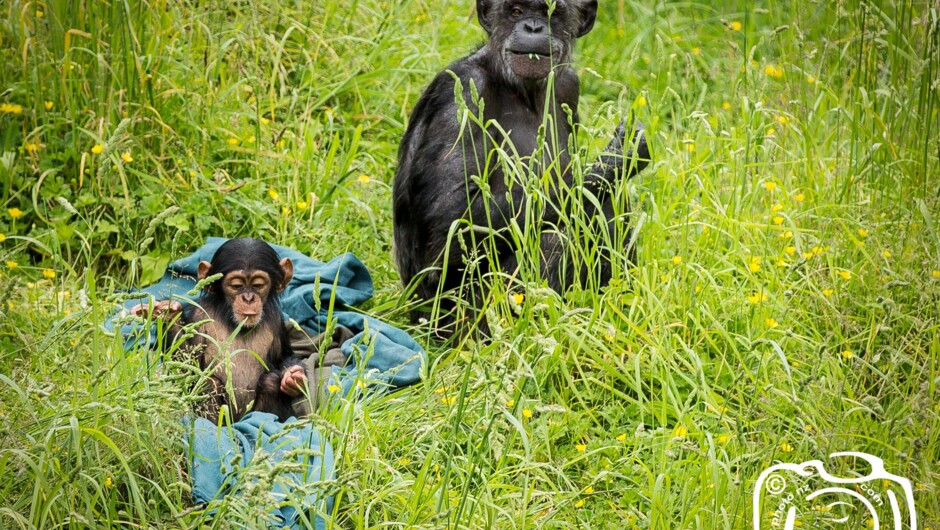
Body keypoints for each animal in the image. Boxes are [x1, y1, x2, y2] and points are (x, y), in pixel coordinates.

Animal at [132, 238, 306, 420]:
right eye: (236, 285)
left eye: (258, 285)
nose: (248, 298)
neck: (235, 322)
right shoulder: (199, 316)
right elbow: (186, 366)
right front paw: (168, 313)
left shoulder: (277, 322)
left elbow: (283, 357)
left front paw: (294, 377)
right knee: (208, 384)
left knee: (271, 382)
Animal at [392, 0, 648, 326]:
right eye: (515, 11)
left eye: (553, 13)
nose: (533, 27)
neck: (522, 91)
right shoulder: (462, 91)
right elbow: (448, 217)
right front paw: (617, 157)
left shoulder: (569, 86)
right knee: (558, 236)